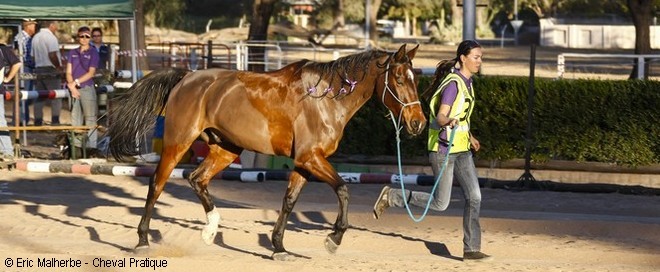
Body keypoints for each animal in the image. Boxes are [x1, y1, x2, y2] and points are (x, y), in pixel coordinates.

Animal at [107, 44, 428, 260]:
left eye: (415, 78)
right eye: (400, 79)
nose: (418, 123)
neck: (326, 99)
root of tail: (187, 77)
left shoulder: (303, 163)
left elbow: (289, 202)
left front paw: (279, 247)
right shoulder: (312, 158)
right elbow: (342, 190)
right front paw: (334, 238)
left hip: (226, 149)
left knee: (197, 179)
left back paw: (210, 230)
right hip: (178, 143)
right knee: (156, 184)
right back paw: (143, 240)